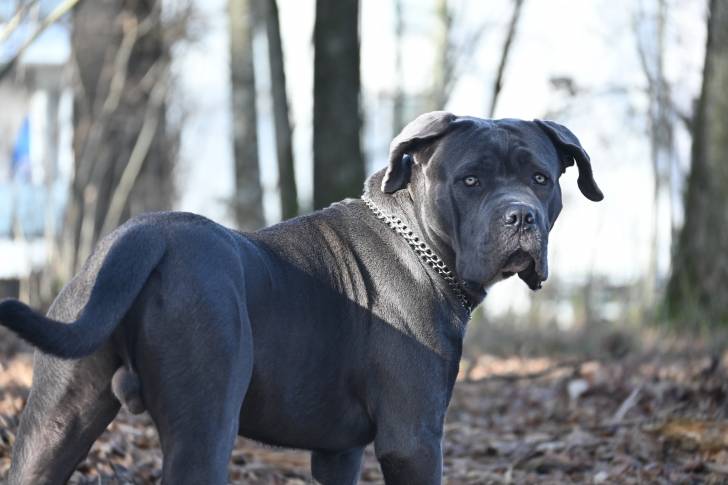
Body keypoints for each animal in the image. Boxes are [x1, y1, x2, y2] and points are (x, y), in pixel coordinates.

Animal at [0, 111, 604, 482]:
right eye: (470, 181)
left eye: (541, 178)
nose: (520, 216)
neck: (419, 240)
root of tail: (144, 235)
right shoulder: (412, 439)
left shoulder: (338, 452)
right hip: (205, 428)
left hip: (53, 424)